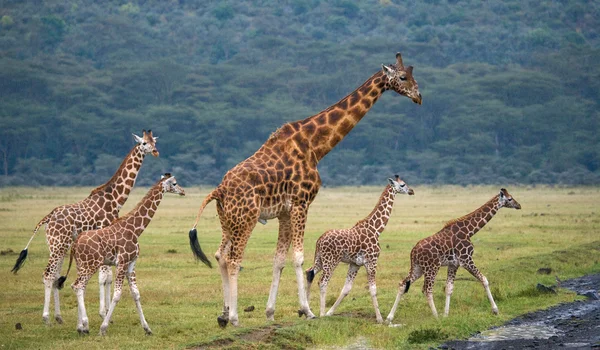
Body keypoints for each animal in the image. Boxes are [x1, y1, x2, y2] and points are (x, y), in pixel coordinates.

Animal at [11, 130, 159, 324]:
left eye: (154, 141)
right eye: (143, 143)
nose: (155, 151)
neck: (115, 199)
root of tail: (48, 218)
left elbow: (107, 277)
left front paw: (106, 315)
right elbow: (104, 277)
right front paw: (104, 314)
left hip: (58, 245)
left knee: (55, 274)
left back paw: (58, 317)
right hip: (58, 245)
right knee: (48, 274)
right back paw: (46, 318)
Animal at [61, 174, 185, 334]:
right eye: (174, 183)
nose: (183, 191)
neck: (136, 230)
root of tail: (75, 244)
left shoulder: (132, 263)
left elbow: (136, 294)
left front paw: (147, 328)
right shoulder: (122, 262)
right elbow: (117, 294)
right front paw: (103, 328)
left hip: (81, 265)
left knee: (79, 287)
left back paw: (80, 327)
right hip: (91, 264)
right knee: (77, 286)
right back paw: (85, 325)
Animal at [308, 176, 414, 324]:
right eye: (403, 184)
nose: (411, 191)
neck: (376, 229)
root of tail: (319, 240)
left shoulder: (355, 264)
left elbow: (346, 289)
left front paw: (330, 312)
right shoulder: (372, 261)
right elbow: (373, 289)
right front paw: (380, 318)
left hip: (319, 260)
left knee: (309, 273)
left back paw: (307, 311)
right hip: (330, 261)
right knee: (322, 282)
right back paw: (321, 314)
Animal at [384, 187, 520, 324]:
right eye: (510, 199)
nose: (518, 205)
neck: (469, 231)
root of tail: (413, 252)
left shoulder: (454, 264)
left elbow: (449, 288)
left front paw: (446, 314)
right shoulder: (466, 259)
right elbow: (484, 280)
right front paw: (495, 310)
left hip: (418, 268)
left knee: (403, 284)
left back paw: (389, 317)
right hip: (432, 267)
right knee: (427, 290)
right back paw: (436, 316)